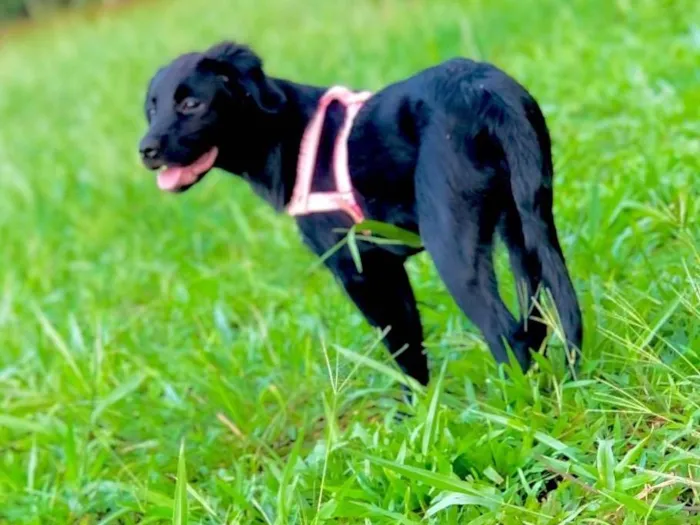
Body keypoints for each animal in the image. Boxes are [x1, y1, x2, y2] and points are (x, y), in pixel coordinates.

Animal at [139, 42, 584, 384]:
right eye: (152, 109)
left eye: (192, 103)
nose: (145, 150)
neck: (288, 134)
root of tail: (484, 90)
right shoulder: (385, 266)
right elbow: (412, 344)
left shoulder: (358, 270)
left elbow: (404, 351)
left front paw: (415, 421)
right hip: (527, 220)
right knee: (544, 319)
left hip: (452, 245)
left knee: (508, 334)